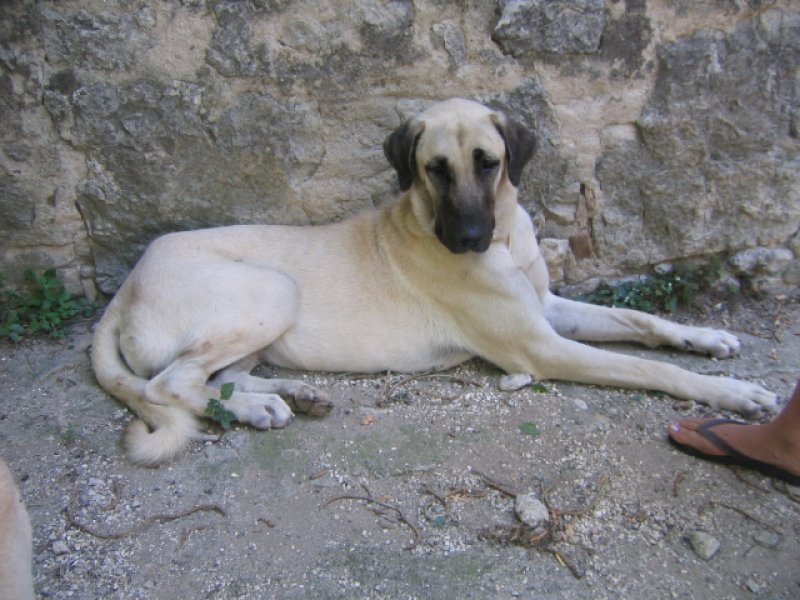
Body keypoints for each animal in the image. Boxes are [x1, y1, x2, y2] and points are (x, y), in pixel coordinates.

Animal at [90, 97, 780, 464]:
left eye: (489, 162)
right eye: (435, 169)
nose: (468, 238)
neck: (503, 240)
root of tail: (125, 286)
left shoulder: (547, 308)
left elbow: (643, 320)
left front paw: (707, 338)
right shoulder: (540, 347)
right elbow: (647, 366)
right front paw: (731, 393)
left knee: (214, 378)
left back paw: (284, 397)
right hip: (273, 289)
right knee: (170, 382)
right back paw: (258, 405)